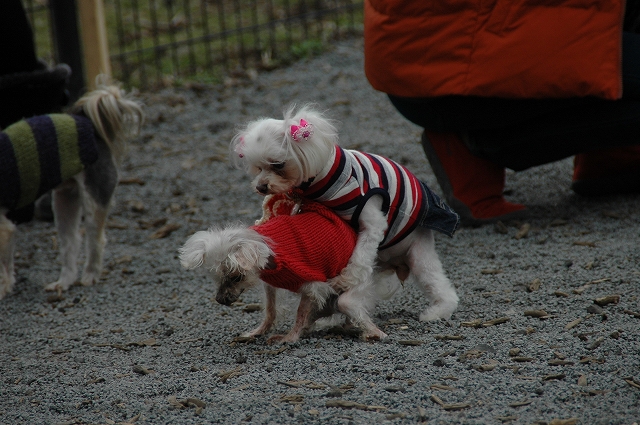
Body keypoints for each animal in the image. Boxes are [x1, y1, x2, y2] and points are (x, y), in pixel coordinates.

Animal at [0, 79, 144, 298]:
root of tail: (87, 122)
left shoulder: (4, 228)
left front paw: (3, 288)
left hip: (94, 196)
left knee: (95, 240)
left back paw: (90, 275)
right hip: (64, 200)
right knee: (71, 243)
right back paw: (63, 282)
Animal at [180, 193, 370, 342]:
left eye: (237, 277)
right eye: (215, 278)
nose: (219, 299)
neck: (274, 255)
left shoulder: (312, 286)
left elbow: (300, 314)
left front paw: (291, 337)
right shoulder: (270, 285)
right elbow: (270, 310)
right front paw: (260, 331)